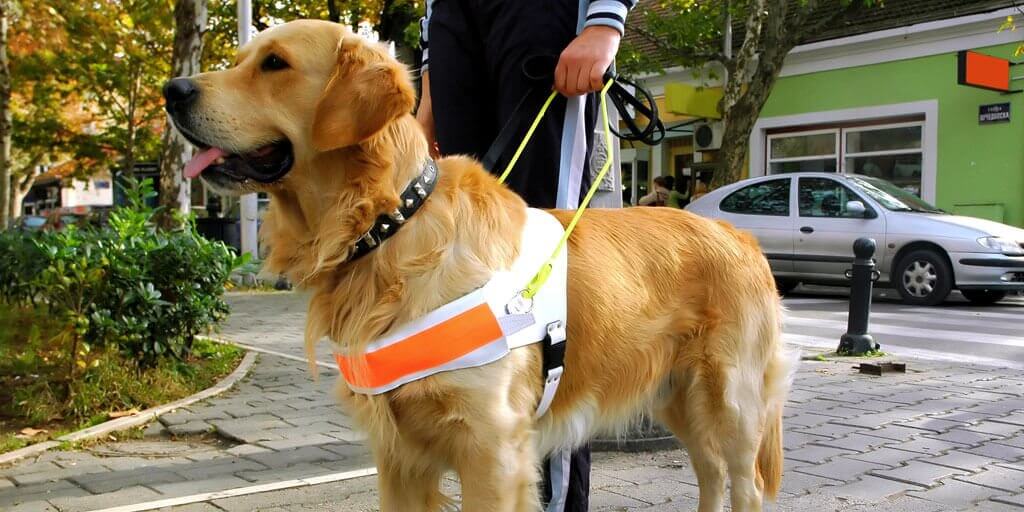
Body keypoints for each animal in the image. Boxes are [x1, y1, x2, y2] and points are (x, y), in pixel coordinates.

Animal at [163, 20, 794, 512]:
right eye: (243, 59)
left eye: (275, 64)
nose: (173, 89)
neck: (391, 228)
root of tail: (735, 231)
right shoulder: (398, 457)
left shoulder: (493, 447)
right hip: (676, 396)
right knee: (710, 474)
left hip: (732, 401)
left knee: (743, 483)